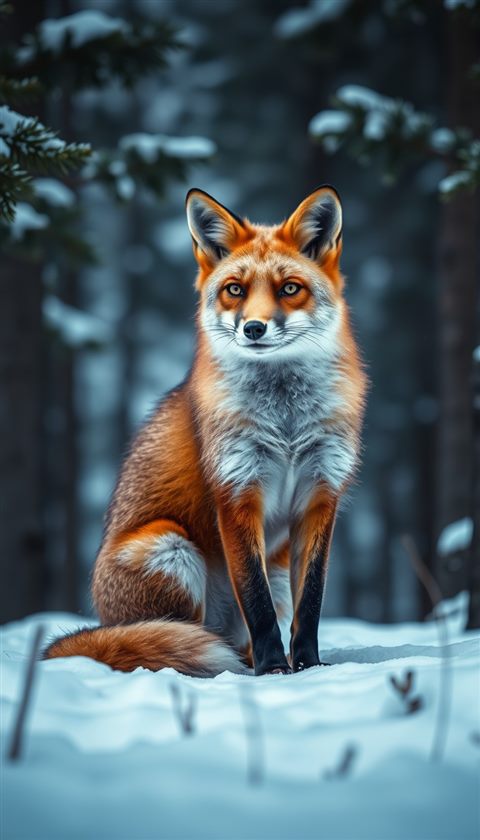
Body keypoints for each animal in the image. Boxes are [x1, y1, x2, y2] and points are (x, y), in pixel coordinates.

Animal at [45, 185, 366, 677]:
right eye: (235, 290)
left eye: (290, 289)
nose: (253, 328)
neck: (286, 424)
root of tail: (102, 619)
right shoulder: (236, 493)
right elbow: (256, 602)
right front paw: (275, 668)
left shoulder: (320, 496)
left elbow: (310, 604)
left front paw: (308, 666)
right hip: (170, 548)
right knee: (179, 638)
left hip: (270, 567)